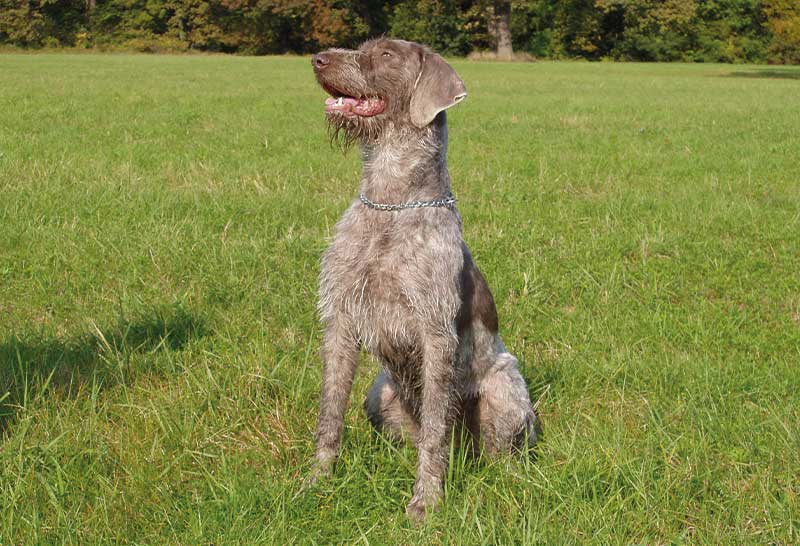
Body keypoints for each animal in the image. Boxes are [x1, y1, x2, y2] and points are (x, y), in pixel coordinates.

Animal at [310, 38, 540, 520]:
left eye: (386, 55)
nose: (317, 59)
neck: (390, 202)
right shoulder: (340, 320)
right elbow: (330, 413)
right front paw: (317, 480)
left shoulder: (435, 335)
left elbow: (436, 430)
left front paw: (427, 501)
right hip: (380, 392)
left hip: (505, 388)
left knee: (498, 452)